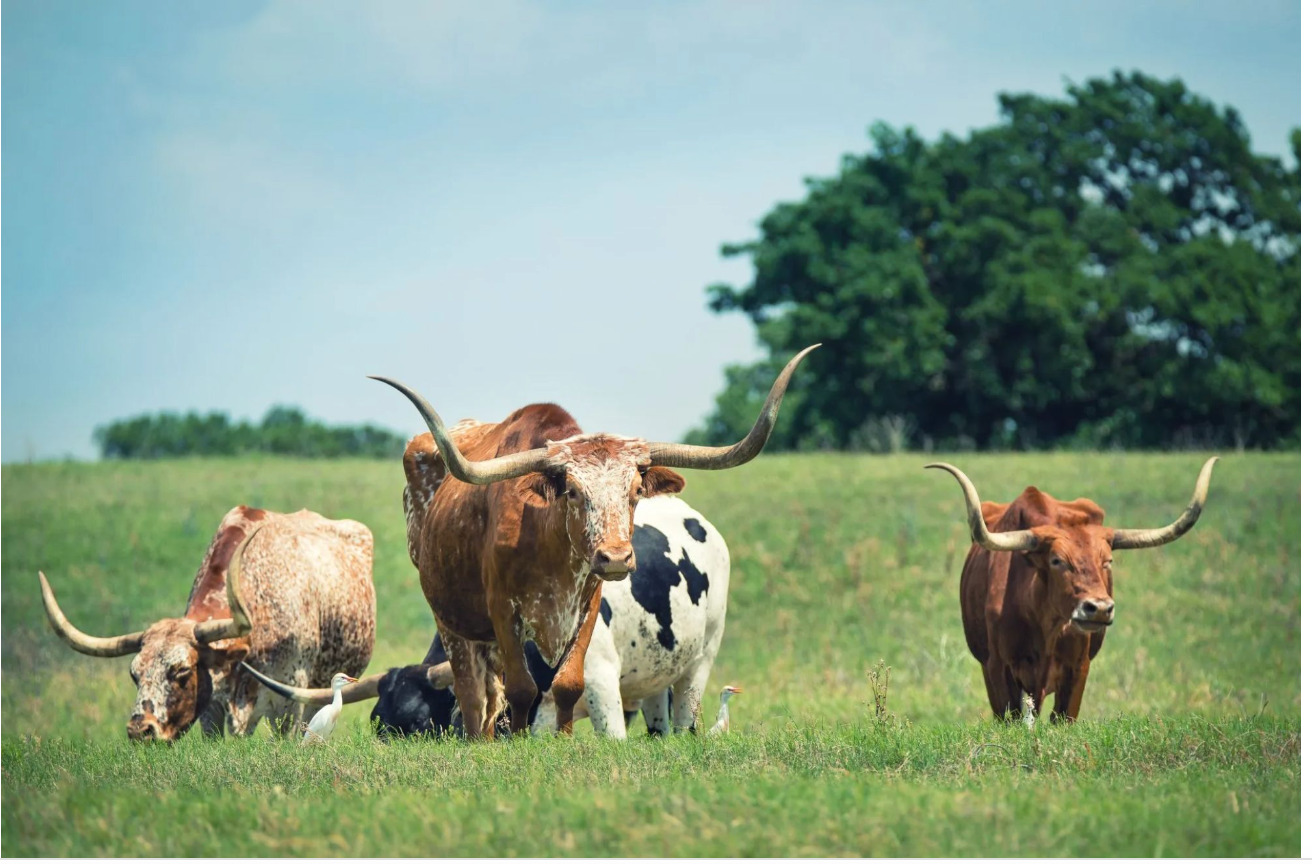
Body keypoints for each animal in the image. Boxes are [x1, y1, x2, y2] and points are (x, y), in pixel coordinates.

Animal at [245, 495, 732, 739]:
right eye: (378, 725)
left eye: (420, 724)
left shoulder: (599, 682)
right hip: (656, 673)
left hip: (703, 655)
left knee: (685, 714)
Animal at [370, 345, 816, 739]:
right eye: (572, 491)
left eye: (635, 490)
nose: (615, 557)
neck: (545, 543)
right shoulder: (503, 613)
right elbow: (519, 689)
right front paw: (515, 745)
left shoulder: (587, 609)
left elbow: (568, 684)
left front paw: (562, 743)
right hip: (451, 621)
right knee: (474, 693)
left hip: (701, 655)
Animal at [927, 458, 1218, 722]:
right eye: (1057, 560)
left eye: (1107, 561)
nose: (1098, 609)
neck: (1042, 621)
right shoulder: (996, 668)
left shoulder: (1077, 669)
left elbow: (1063, 719)